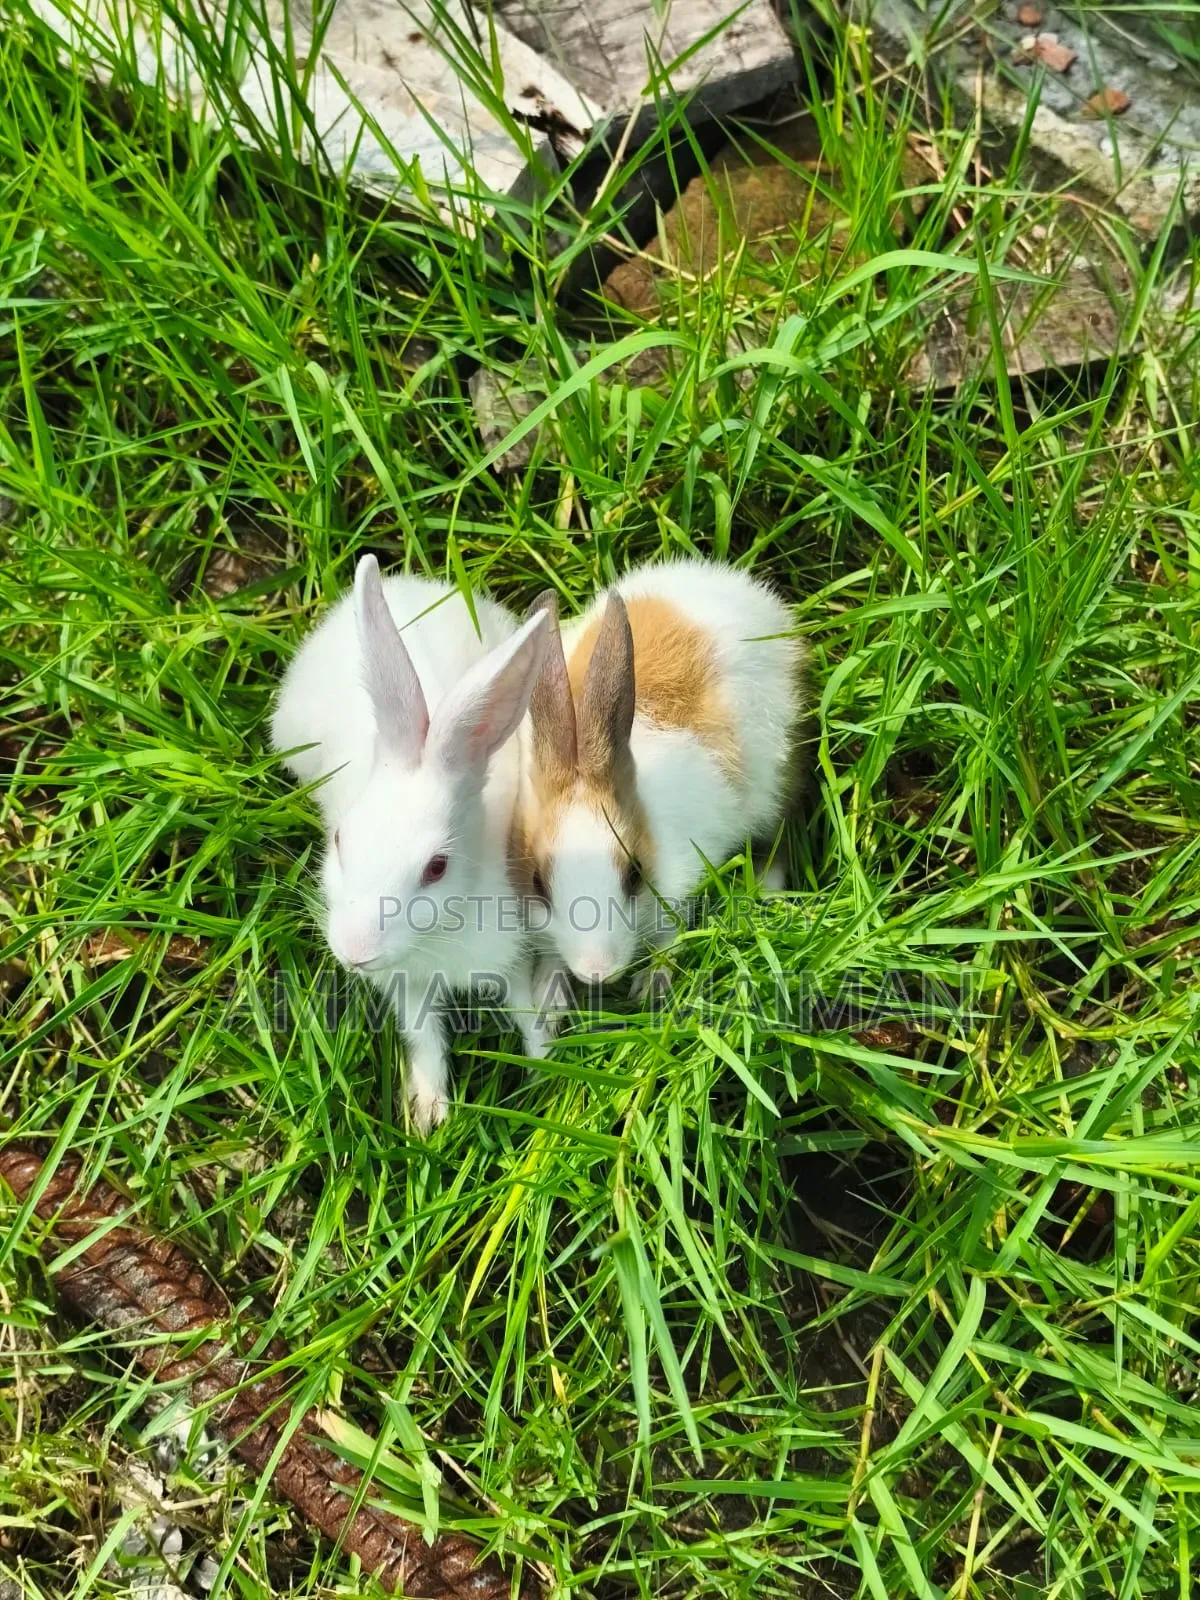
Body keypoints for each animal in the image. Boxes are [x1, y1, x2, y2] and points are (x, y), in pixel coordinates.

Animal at [271, 554, 553, 1132]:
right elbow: (424, 1036)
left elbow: (522, 1008)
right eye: (340, 839)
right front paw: (427, 1114)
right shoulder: (408, 985)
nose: (355, 953)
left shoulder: (510, 952)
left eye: (437, 868)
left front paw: (546, 1068)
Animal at [510, 558, 805, 1008]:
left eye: (634, 875)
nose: (598, 972)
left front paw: (652, 986)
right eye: (538, 883)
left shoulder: (682, 880)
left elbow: (672, 933)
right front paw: (551, 998)